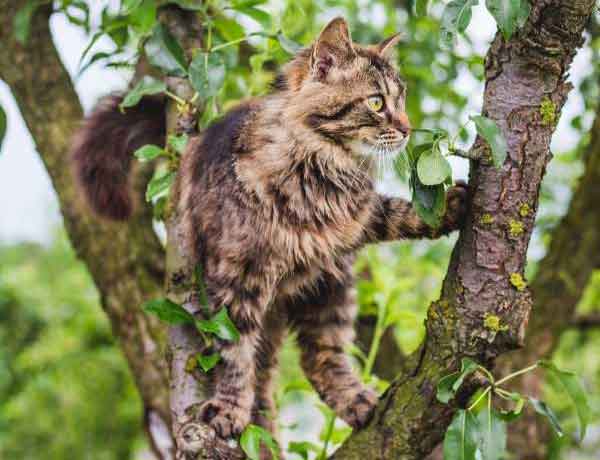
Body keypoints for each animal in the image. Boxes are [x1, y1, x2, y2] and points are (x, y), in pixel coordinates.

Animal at [72, 17, 468, 442]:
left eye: (402, 100)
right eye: (377, 102)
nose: (408, 128)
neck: (319, 173)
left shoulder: (355, 220)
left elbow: (395, 212)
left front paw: (448, 207)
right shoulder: (236, 281)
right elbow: (234, 355)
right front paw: (230, 408)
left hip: (331, 288)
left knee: (320, 360)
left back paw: (357, 402)